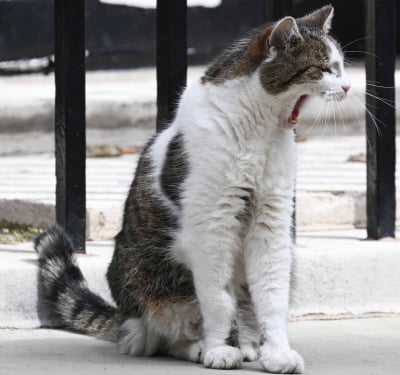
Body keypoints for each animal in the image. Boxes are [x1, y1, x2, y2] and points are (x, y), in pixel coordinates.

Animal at [35, 5, 350, 374]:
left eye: (340, 67)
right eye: (324, 69)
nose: (348, 86)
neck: (261, 131)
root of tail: (126, 321)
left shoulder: (272, 224)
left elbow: (271, 299)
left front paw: (276, 353)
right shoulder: (213, 229)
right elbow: (218, 301)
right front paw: (218, 349)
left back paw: (248, 346)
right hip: (151, 284)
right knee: (166, 336)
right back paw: (200, 347)